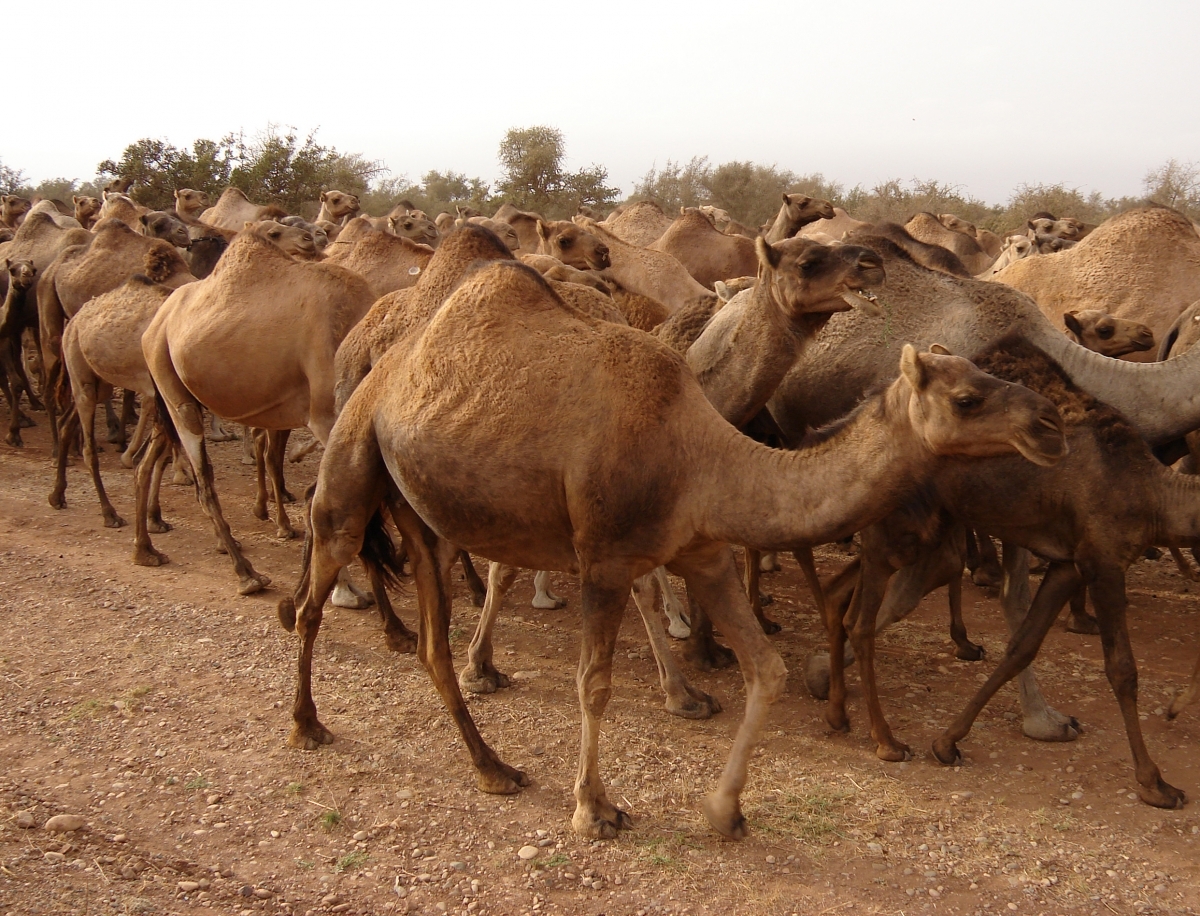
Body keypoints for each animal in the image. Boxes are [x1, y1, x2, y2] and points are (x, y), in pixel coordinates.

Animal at [134, 225, 374, 590]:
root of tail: (154, 323)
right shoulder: (326, 415)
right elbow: (327, 499)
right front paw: (346, 590)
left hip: (172, 390)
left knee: (146, 464)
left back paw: (146, 548)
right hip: (171, 384)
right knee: (204, 479)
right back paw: (246, 573)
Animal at [276, 255, 1065, 840]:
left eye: (990, 373)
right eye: (967, 398)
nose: (1050, 423)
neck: (701, 451)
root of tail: (387, 362)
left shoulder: (704, 552)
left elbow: (768, 669)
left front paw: (724, 810)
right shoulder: (602, 557)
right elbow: (593, 683)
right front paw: (595, 808)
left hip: (423, 513)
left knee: (434, 646)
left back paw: (493, 766)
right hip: (351, 465)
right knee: (317, 588)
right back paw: (308, 721)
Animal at [816, 336, 1190, 811]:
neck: (1154, 491)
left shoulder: (1070, 564)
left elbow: (1021, 646)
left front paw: (950, 742)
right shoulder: (1105, 560)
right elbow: (1122, 670)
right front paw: (1155, 782)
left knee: (842, 590)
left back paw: (834, 706)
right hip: (897, 533)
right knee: (866, 615)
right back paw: (877, 733)